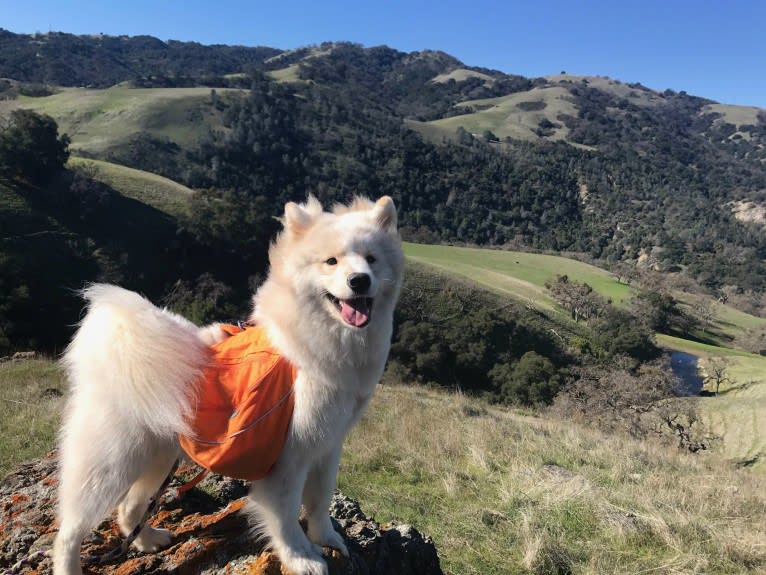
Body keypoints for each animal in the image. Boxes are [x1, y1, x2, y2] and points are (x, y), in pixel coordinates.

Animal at [51, 196, 404, 572]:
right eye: (331, 261)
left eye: (371, 259)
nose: (360, 280)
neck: (309, 346)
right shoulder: (287, 457)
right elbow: (285, 516)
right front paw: (300, 557)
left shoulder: (328, 445)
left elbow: (320, 500)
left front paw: (328, 539)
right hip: (111, 463)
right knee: (70, 530)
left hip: (158, 454)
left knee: (130, 506)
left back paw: (147, 540)